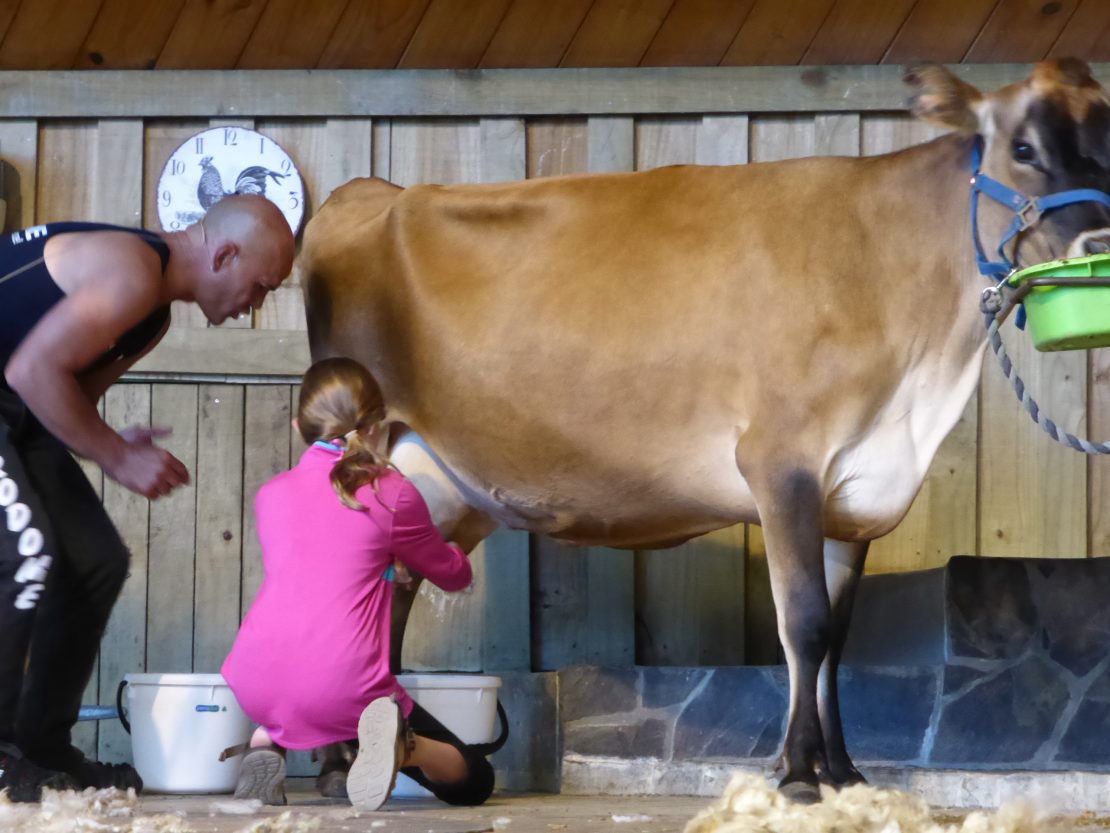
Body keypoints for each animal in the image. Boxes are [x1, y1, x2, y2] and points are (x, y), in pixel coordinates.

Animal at [297, 60, 1110, 802]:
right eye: (1025, 148)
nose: (1095, 239)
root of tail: (370, 191)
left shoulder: (855, 497)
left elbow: (837, 640)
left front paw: (844, 772)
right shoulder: (781, 460)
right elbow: (804, 624)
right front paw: (799, 771)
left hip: (442, 484)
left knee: (396, 591)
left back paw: (382, 749)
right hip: (367, 446)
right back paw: (340, 765)